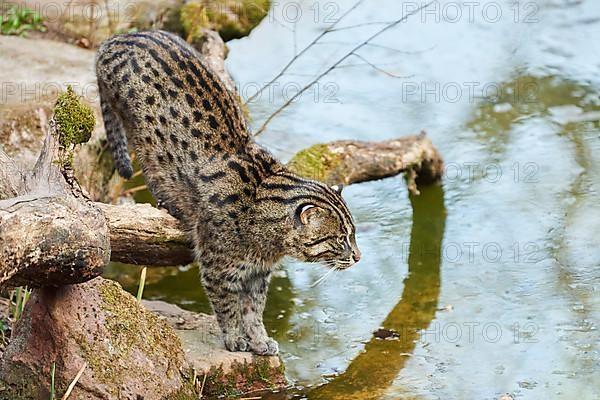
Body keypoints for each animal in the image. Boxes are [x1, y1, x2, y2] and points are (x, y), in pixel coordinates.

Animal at [96, 32, 360, 356]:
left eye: (353, 234)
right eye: (340, 239)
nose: (358, 257)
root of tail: (121, 38)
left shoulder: (258, 275)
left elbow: (254, 309)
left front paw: (258, 338)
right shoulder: (217, 267)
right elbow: (227, 305)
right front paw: (235, 337)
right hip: (142, 139)